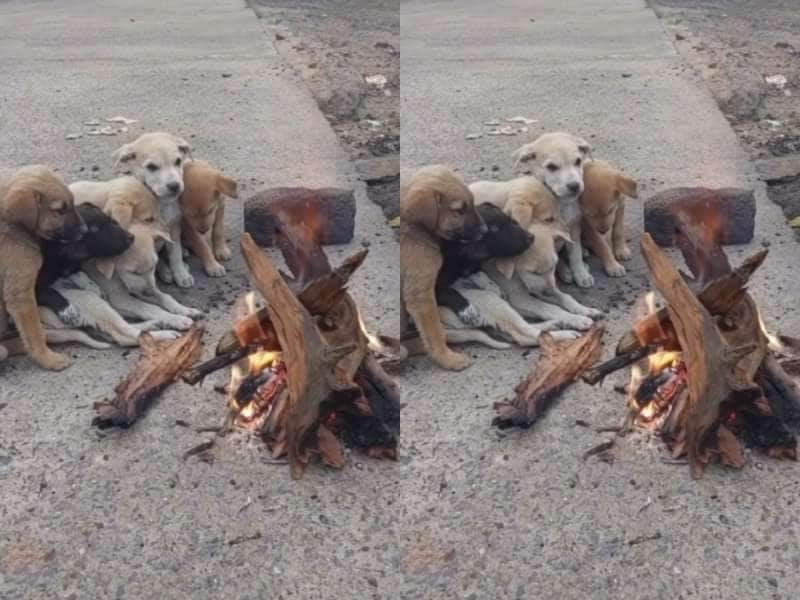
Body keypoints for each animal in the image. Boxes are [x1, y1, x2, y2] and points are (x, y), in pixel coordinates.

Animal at [0, 165, 88, 370]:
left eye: (72, 202)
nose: (85, 230)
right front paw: (48, 358)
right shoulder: (20, 294)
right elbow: (34, 332)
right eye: (59, 210)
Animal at [400, 165, 488, 370]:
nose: (485, 230)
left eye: (473, 202)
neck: (414, 227)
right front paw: (447, 358)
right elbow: (434, 331)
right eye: (459, 211)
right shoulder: (421, 294)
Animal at [512, 132, 592, 290]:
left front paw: (581, 273)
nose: (575, 186)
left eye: (578, 161)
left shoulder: (574, 227)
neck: (559, 203)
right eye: (551, 167)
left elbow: (575, 254)